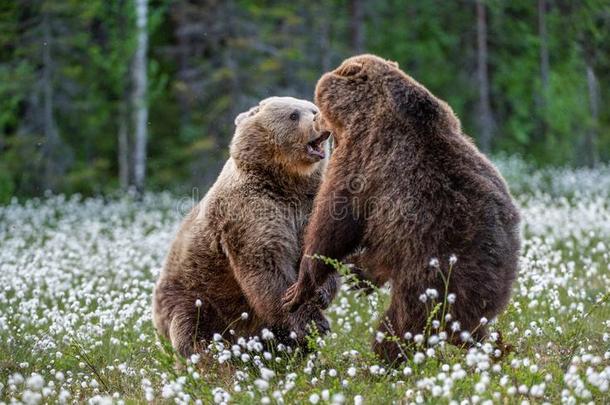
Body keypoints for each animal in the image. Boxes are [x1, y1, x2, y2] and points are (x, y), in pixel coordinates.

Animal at [150, 96, 334, 356]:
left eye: (313, 108)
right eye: (294, 115)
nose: (321, 120)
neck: (285, 183)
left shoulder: (309, 205)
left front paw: (321, 293)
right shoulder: (250, 213)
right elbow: (267, 266)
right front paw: (313, 322)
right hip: (193, 296)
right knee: (194, 331)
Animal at [282, 53, 520, 360]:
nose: (316, 119)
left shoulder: (361, 158)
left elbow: (334, 223)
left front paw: (297, 290)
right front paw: (359, 275)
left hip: (433, 274)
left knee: (401, 322)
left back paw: (388, 358)